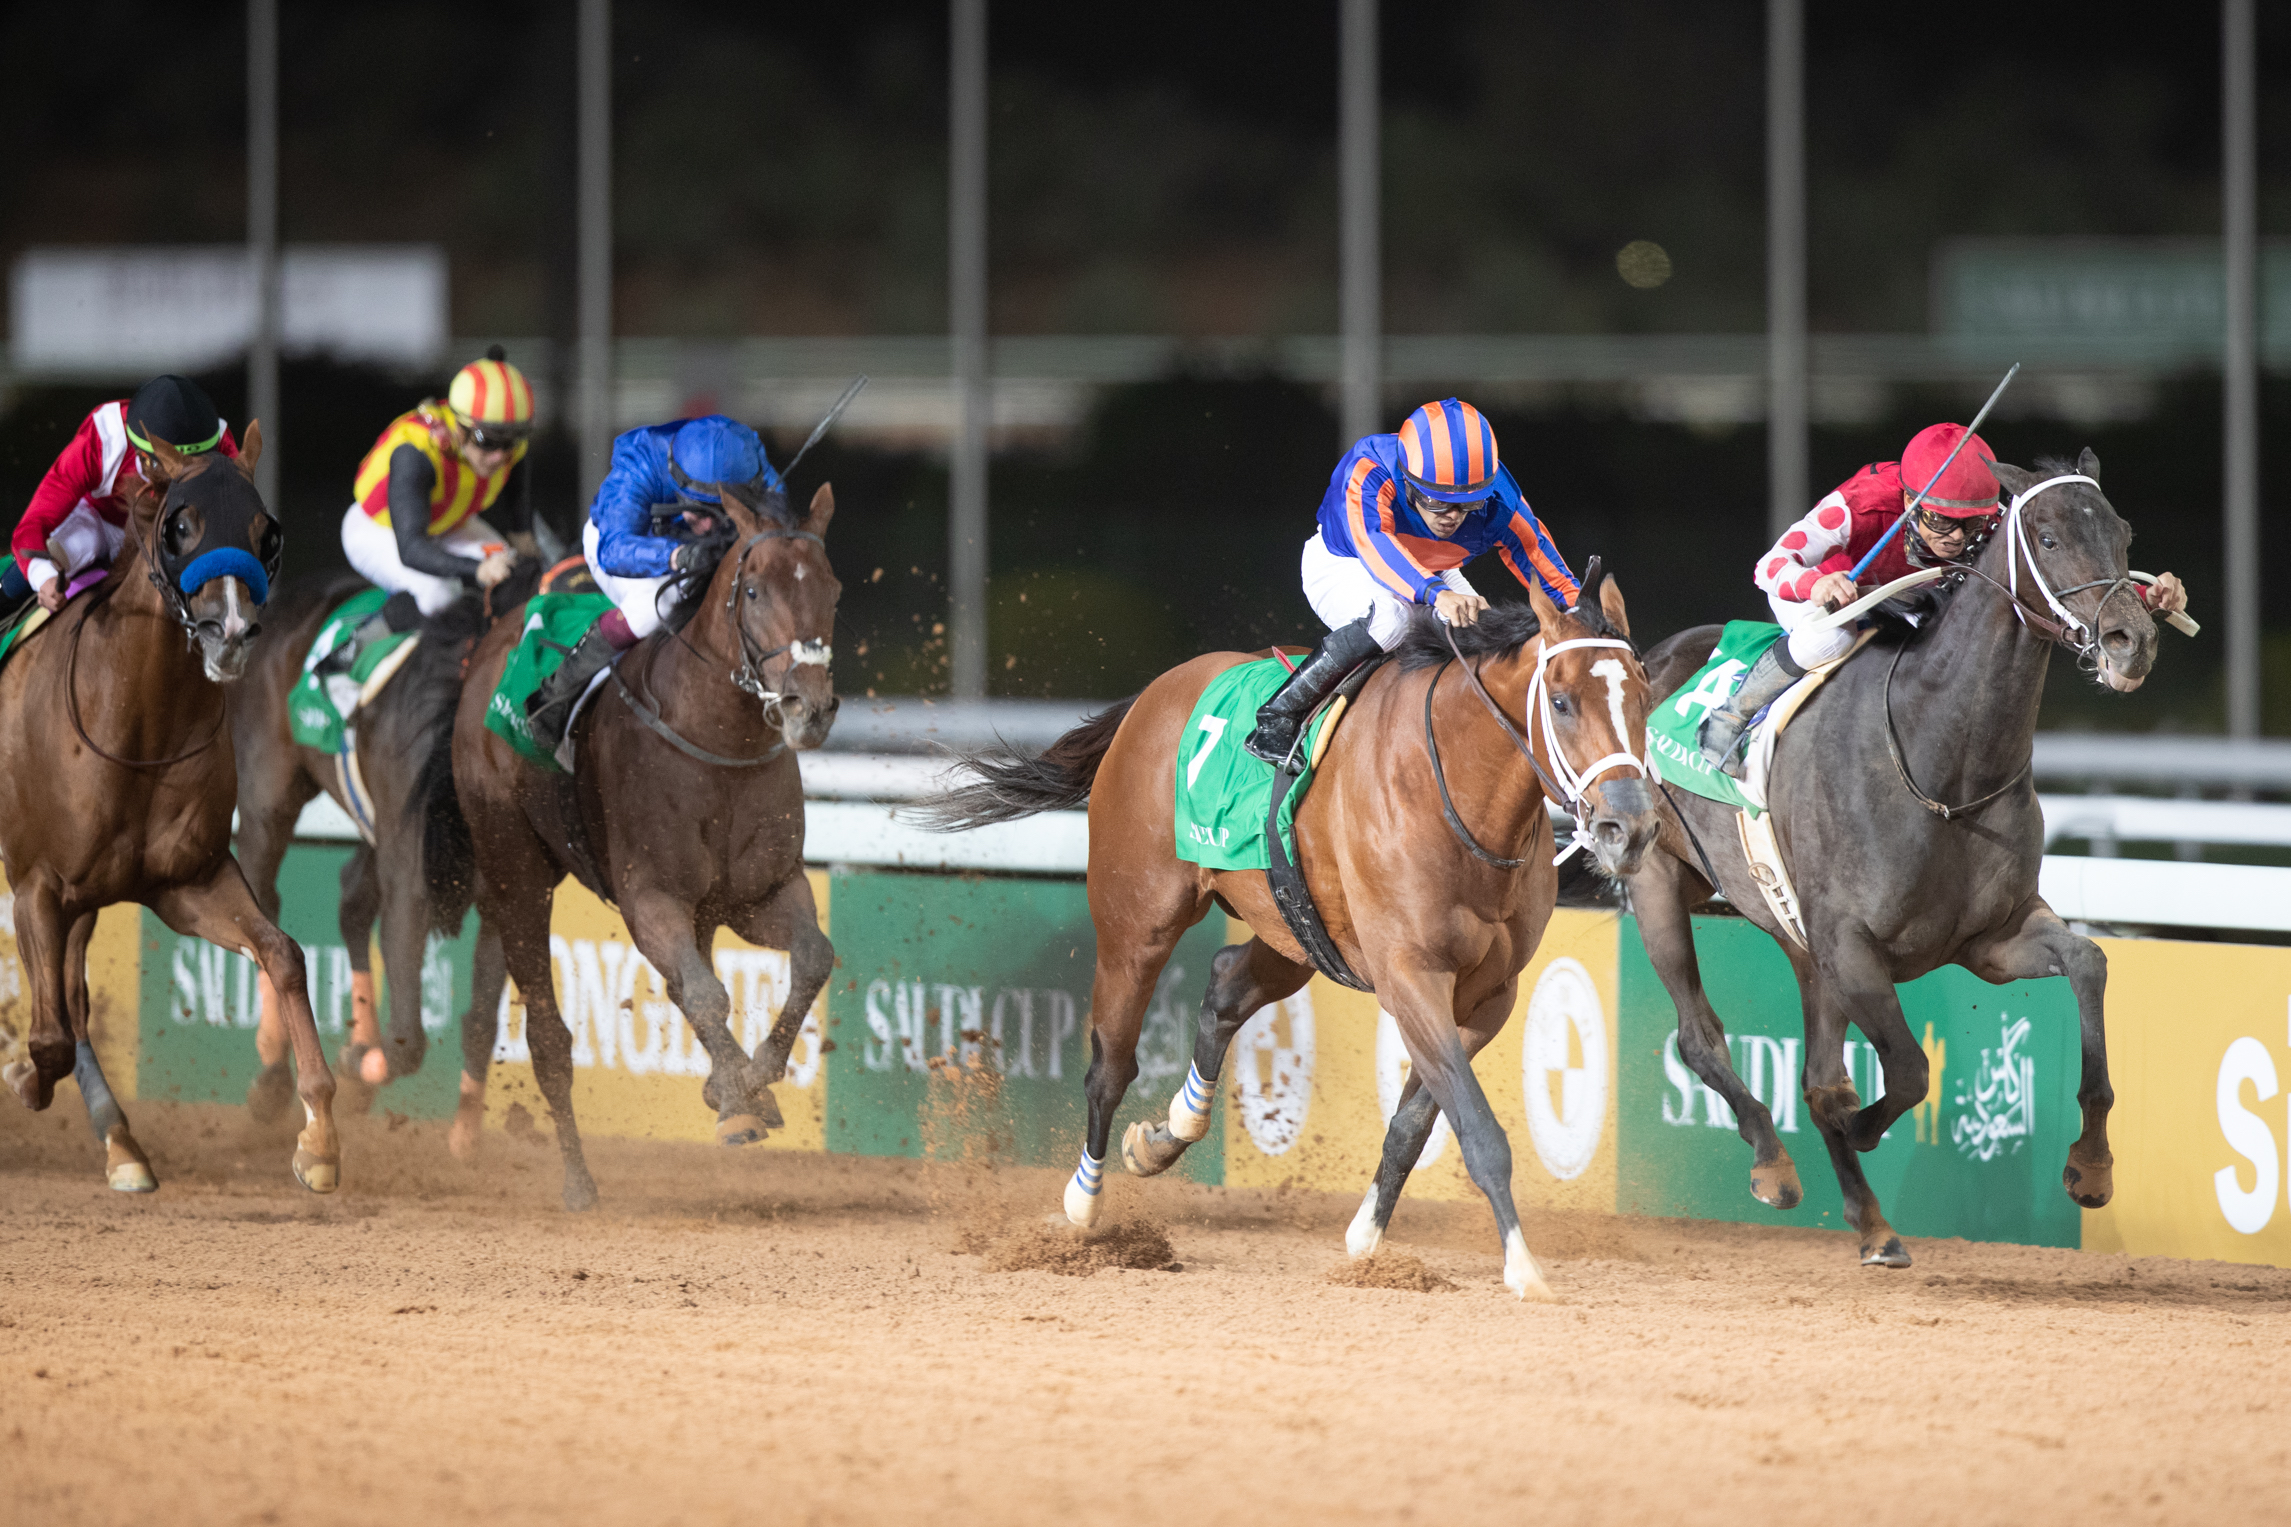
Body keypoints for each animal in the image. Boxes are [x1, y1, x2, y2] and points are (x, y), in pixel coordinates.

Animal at [0, 428, 339, 1190]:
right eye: (179, 527)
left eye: (265, 531)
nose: (231, 632)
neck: (139, 726)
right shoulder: (35, 883)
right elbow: (47, 1036)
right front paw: (20, 1076)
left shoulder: (186, 880)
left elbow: (283, 954)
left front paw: (319, 1138)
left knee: (76, 999)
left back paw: (121, 1142)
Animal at [432, 483, 847, 1208]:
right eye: (755, 590)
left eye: (833, 588)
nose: (809, 706)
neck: (714, 738)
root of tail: (495, 638)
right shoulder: (649, 896)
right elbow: (705, 993)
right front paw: (738, 1094)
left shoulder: (760, 891)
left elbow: (810, 959)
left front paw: (752, 1080)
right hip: (516, 872)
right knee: (549, 1036)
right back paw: (578, 1181)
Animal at [916, 565, 1667, 1300]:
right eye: (1562, 701)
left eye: (1643, 696)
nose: (1627, 828)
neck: (1458, 790)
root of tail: (1153, 694)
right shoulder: (1410, 975)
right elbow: (1477, 1128)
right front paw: (1523, 1267)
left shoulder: (1490, 994)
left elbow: (1416, 1121)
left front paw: (1366, 1238)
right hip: (1137, 922)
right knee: (1109, 1065)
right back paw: (1081, 1206)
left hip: (1295, 932)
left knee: (1224, 984)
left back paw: (1166, 1134)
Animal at [1622, 451, 2190, 1263]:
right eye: (2048, 538)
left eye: (2122, 532)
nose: (2129, 641)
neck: (1945, 767)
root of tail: (1649, 656)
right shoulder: (1853, 946)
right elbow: (1909, 1074)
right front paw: (1862, 1126)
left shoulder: (1991, 936)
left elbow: (2088, 963)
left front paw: (2091, 1165)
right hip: (1657, 878)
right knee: (1700, 1039)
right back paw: (1774, 1166)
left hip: (1797, 938)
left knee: (1814, 1073)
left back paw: (1873, 1223)